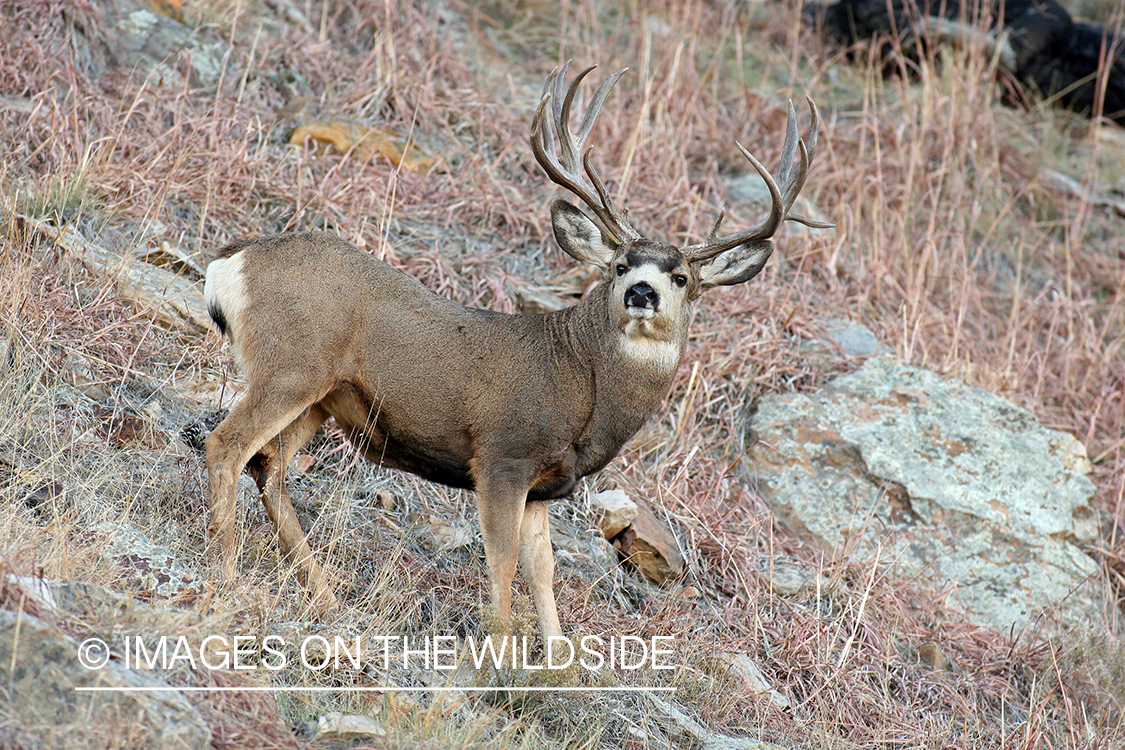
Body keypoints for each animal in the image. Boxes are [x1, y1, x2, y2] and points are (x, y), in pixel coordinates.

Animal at [203, 62, 831, 642]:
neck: (582, 384)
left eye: (681, 277)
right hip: (291, 365)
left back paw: (326, 597)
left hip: (322, 399)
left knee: (269, 467)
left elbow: (543, 570)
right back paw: (227, 576)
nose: (642, 291)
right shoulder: (503, 454)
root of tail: (230, 263)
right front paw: (500, 648)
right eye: (620, 264)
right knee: (226, 444)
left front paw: (556, 660)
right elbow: (503, 563)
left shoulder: (543, 486)